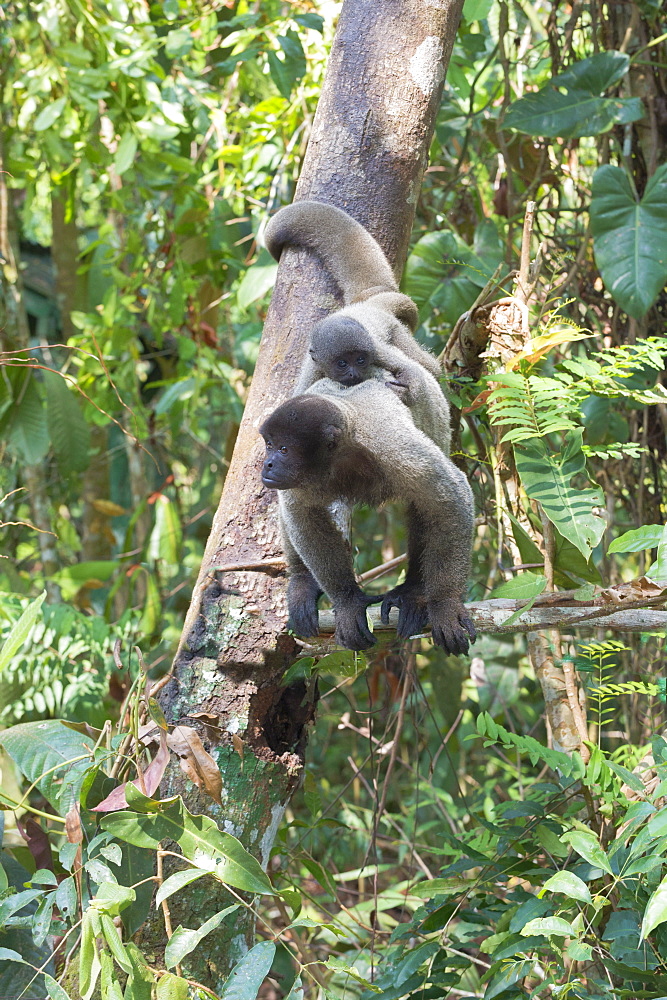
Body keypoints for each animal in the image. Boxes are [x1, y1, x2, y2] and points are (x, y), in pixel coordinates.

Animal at [260, 378, 474, 652]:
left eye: (284, 449)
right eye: (269, 446)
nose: (267, 464)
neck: (342, 451)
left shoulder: (397, 449)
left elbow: (451, 499)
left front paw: (445, 605)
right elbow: (300, 512)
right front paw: (348, 602)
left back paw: (413, 593)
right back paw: (302, 581)